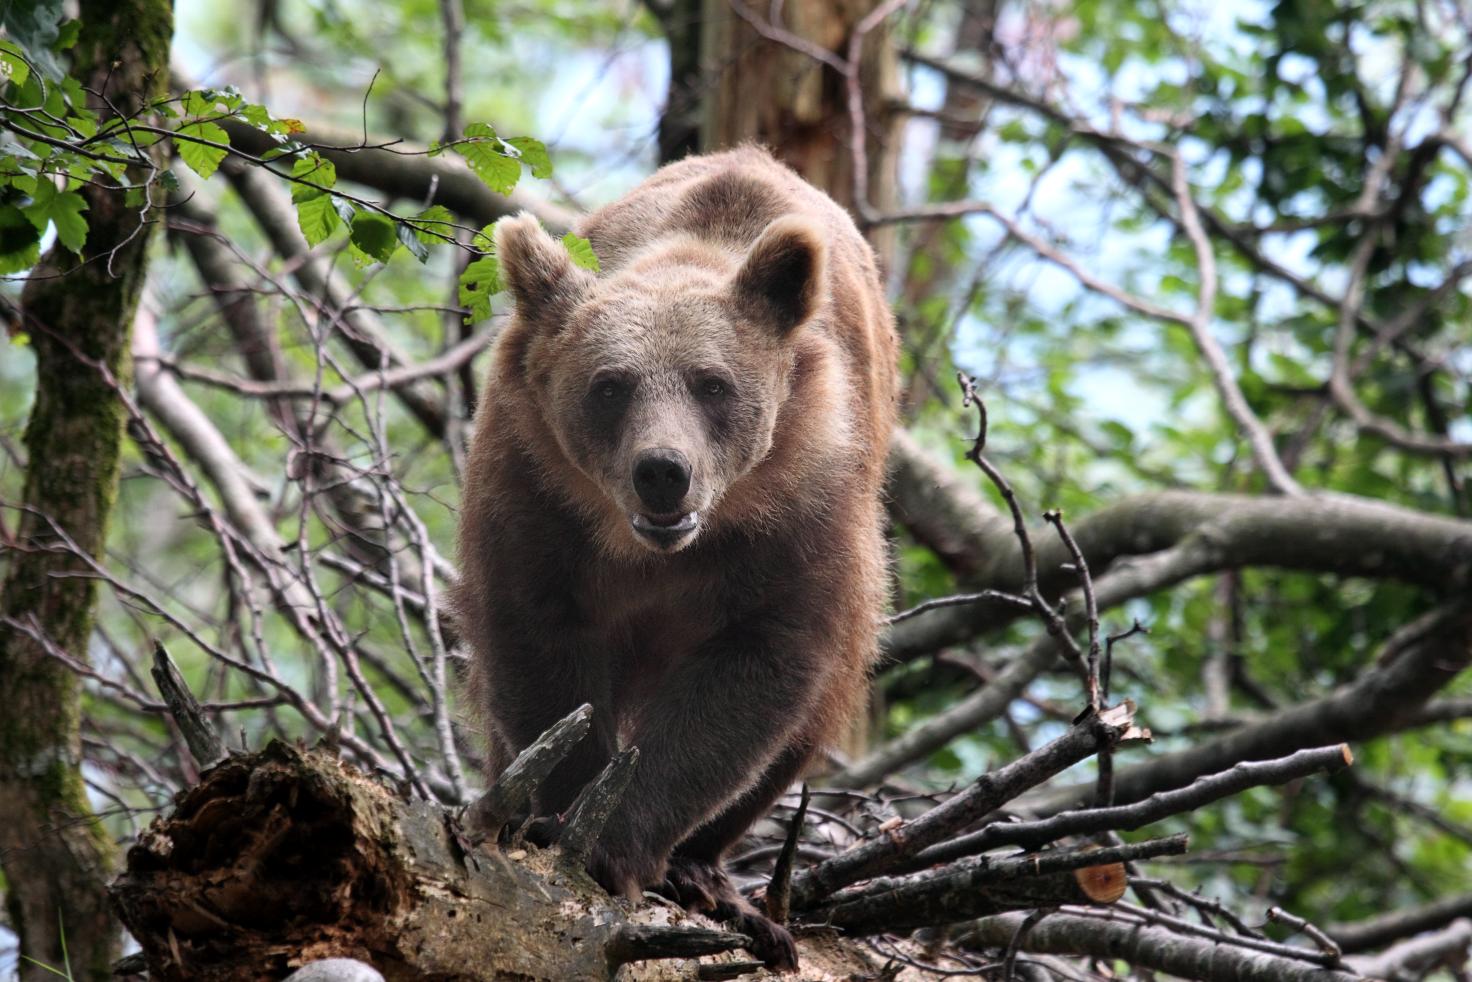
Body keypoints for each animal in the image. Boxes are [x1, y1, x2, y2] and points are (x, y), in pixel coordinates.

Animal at [453, 147, 894, 965]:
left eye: (712, 384)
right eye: (609, 386)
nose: (663, 470)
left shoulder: (805, 502)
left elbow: (758, 666)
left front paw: (618, 844)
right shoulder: (533, 483)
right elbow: (539, 643)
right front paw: (562, 820)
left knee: (812, 714)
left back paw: (711, 880)